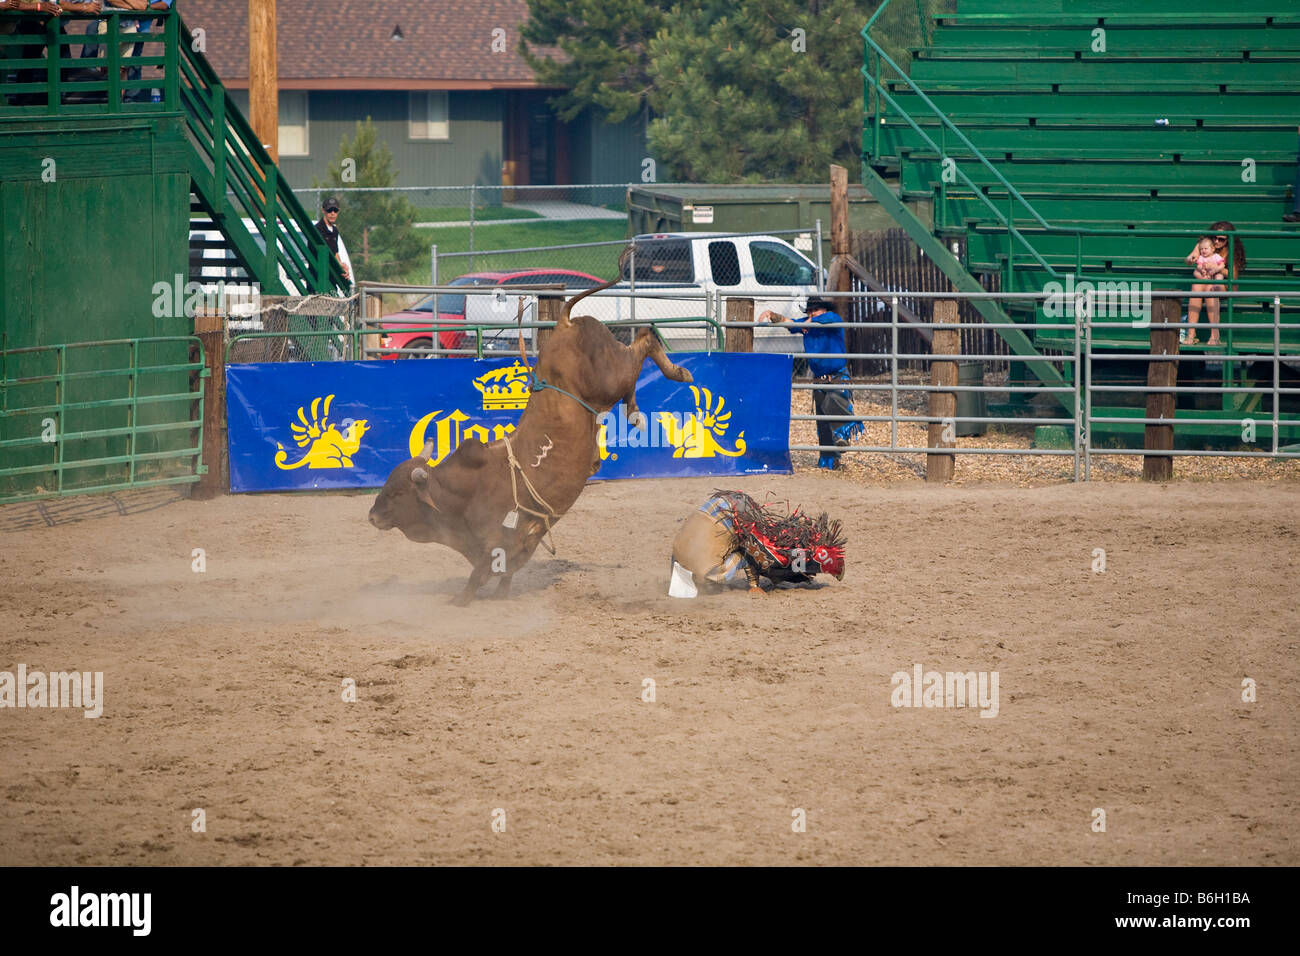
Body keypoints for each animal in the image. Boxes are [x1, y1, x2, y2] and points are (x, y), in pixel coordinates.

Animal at [368, 280, 693, 605]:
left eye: (397, 493)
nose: (372, 516)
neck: (463, 492)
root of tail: (563, 323)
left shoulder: (496, 542)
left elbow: (480, 574)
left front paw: (460, 600)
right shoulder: (522, 539)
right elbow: (506, 570)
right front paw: (501, 592)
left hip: (609, 376)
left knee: (644, 341)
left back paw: (676, 374)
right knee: (638, 352)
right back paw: (635, 410)